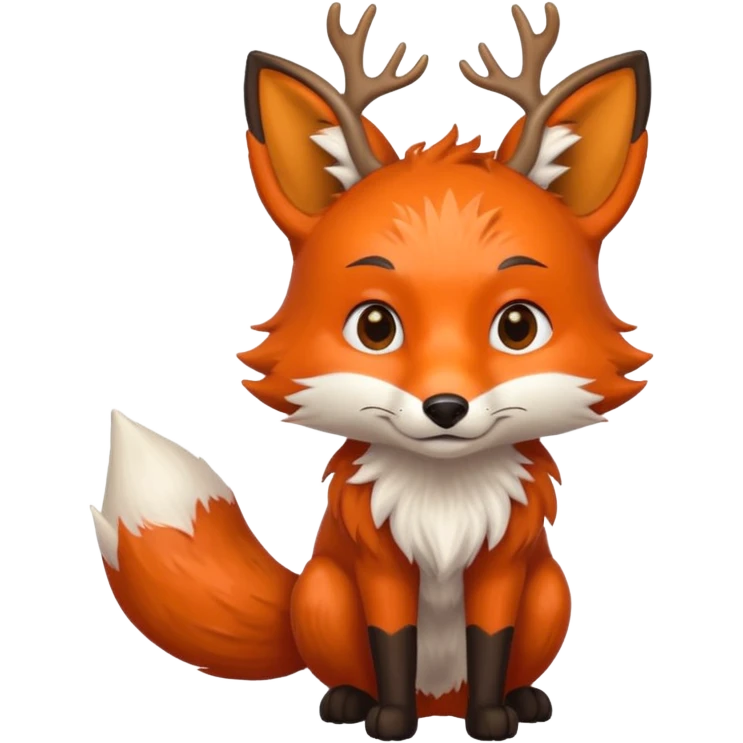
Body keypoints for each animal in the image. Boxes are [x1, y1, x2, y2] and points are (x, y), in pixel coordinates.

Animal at [92, 2, 653, 741]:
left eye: (517, 327)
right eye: (375, 327)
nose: (445, 407)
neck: (443, 502)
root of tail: (439, 700)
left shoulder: (503, 565)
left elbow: (489, 639)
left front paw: (491, 719)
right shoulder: (377, 563)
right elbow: (393, 641)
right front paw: (388, 720)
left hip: (551, 593)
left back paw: (523, 700)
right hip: (324, 592)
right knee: (346, 666)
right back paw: (350, 702)